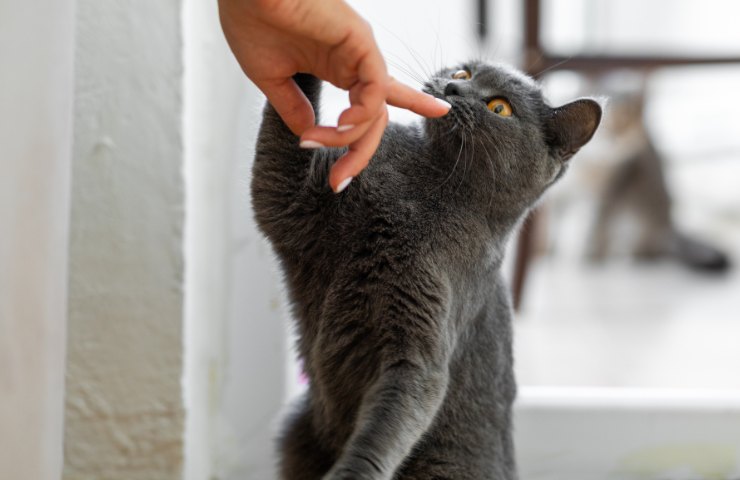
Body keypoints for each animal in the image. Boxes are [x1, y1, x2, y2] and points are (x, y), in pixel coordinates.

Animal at [253, 62, 600, 478]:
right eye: (464, 72)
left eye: (499, 107)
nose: (452, 88)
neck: (419, 186)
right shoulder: (295, 203)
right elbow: (277, 168)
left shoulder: (418, 342)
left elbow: (394, 418)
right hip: (298, 428)